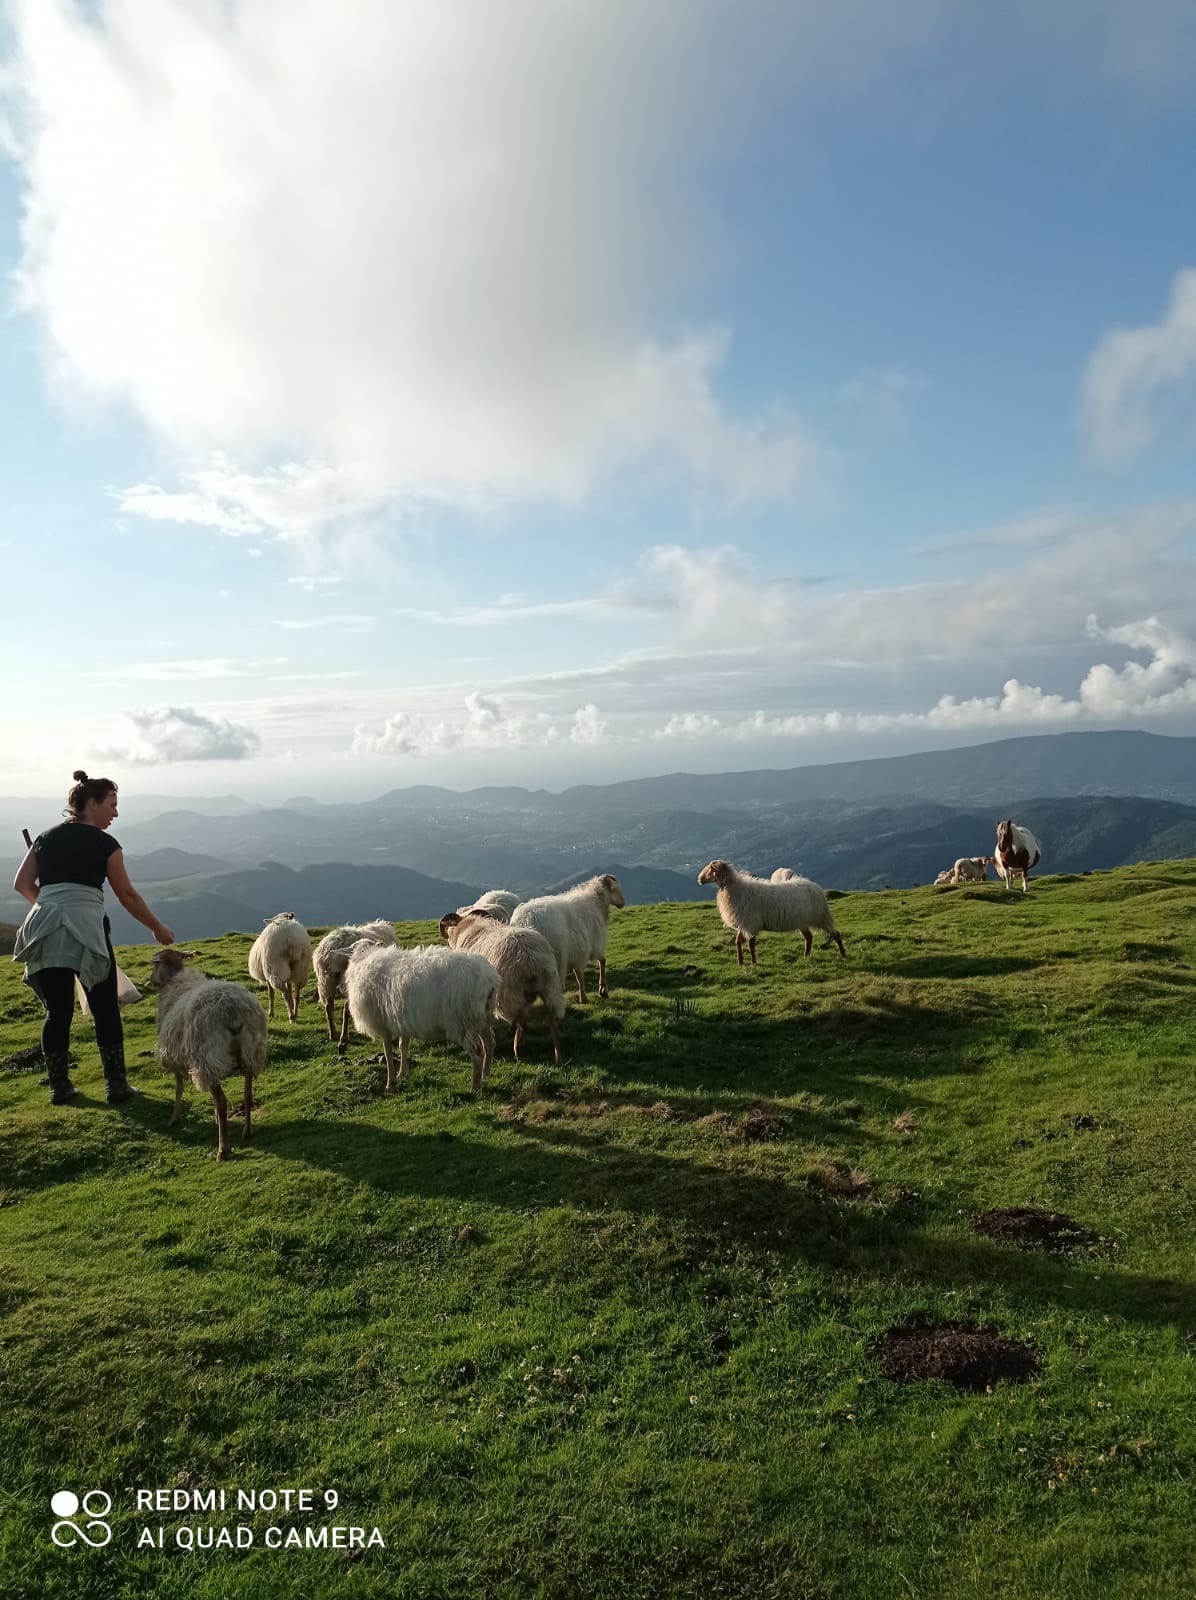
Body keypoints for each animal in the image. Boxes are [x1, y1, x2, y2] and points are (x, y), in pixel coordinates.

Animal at [151, 948, 269, 1161]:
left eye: (154, 965)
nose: (150, 981)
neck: (175, 979)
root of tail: (233, 1012)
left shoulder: (175, 1058)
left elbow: (179, 1088)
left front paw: (174, 1117)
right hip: (251, 1053)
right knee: (247, 1094)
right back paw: (247, 1131)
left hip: (207, 1059)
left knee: (222, 1101)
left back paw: (223, 1149)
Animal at [322, 939, 499, 1093]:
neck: (363, 958)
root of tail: (490, 979)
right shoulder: (402, 1020)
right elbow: (403, 1046)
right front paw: (403, 1074)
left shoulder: (383, 1023)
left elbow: (388, 1052)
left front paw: (390, 1083)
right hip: (482, 1017)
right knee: (489, 1043)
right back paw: (486, 1074)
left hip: (463, 1021)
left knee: (477, 1052)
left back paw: (475, 1086)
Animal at [439, 908, 565, 1065]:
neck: (468, 926)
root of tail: (529, 958)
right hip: (550, 987)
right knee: (552, 1021)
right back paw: (558, 1056)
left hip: (508, 994)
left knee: (522, 1019)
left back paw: (516, 1048)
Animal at [509, 873, 625, 1003]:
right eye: (615, 888)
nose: (623, 903)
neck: (597, 901)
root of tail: (525, 921)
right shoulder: (590, 943)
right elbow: (598, 964)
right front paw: (595, 993)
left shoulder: (577, 949)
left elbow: (580, 973)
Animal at [697, 859, 846, 967]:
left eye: (711, 869)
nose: (699, 880)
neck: (734, 888)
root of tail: (814, 886)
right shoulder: (744, 923)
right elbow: (737, 941)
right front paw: (740, 962)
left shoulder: (751, 923)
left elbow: (750, 945)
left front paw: (753, 963)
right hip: (802, 920)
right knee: (809, 937)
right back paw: (806, 956)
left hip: (821, 916)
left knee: (835, 934)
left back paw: (843, 954)